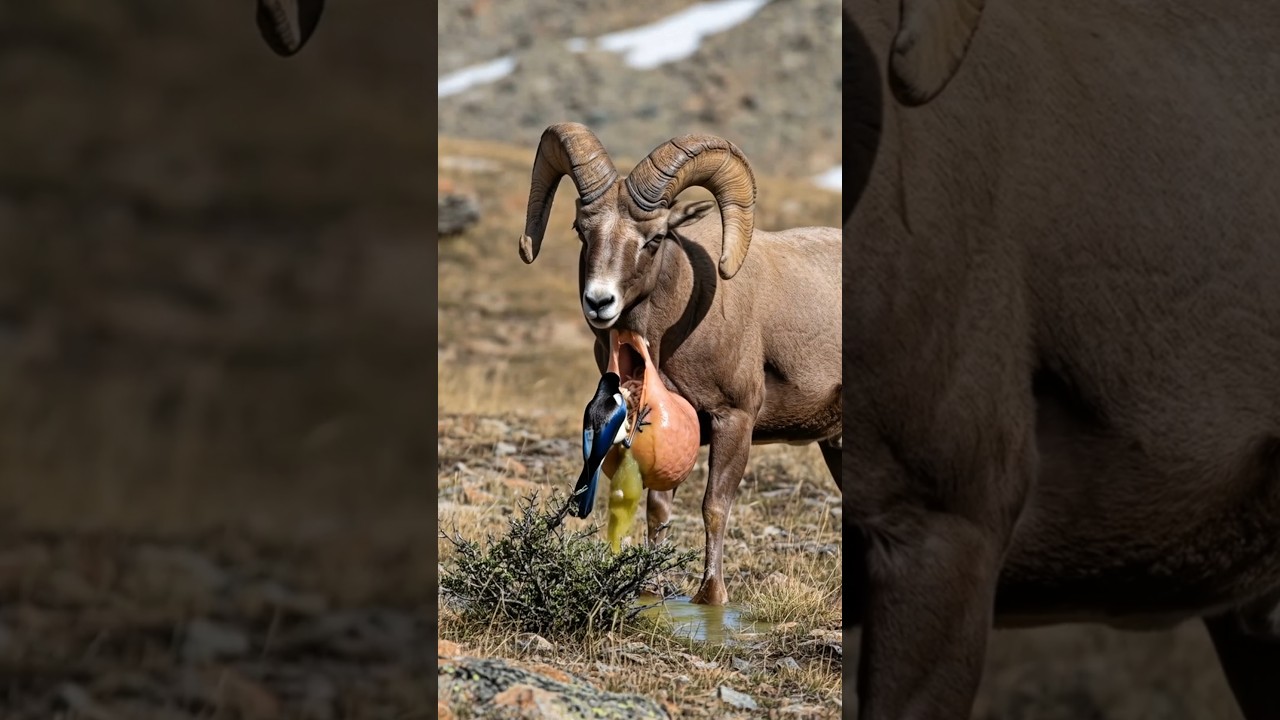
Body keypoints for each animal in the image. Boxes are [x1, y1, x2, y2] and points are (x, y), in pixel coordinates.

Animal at [517, 122, 842, 606]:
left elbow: (714, 507)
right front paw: (650, 588)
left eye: (654, 239)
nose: (599, 302)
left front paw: (711, 595)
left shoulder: (734, 420)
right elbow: (658, 508)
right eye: (581, 231)